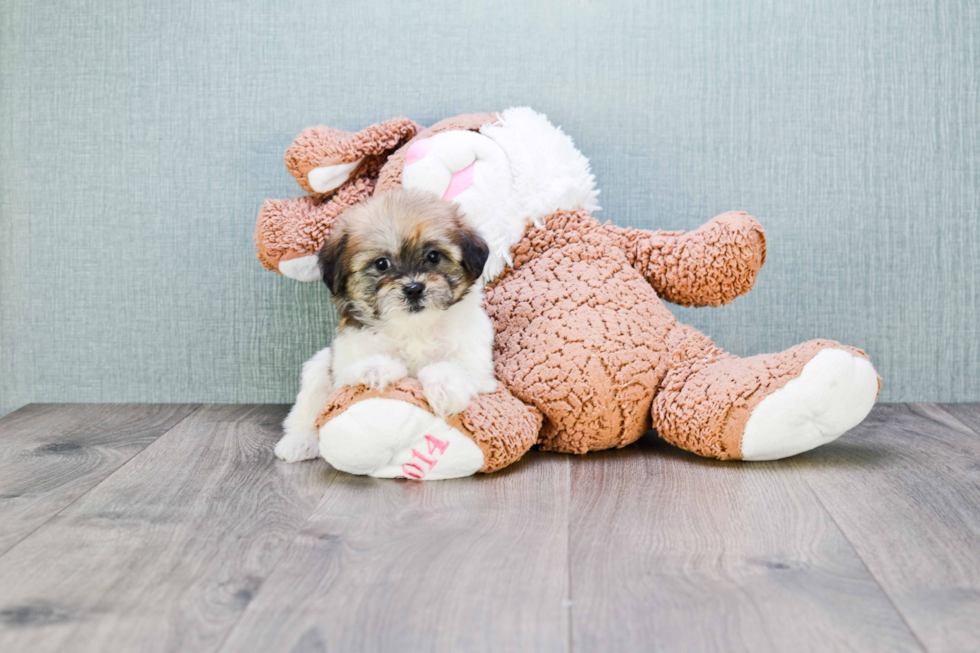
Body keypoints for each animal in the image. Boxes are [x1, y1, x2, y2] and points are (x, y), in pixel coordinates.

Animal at [276, 188, 498, 464]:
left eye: (433, 256)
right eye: (381, 264)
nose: (414, 289)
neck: (413, 327)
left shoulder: (477, 364)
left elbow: (455, 368)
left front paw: (446, 387)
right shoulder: (346, 363)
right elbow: (363, 366)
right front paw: (379, 370)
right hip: (317, 370)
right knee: (305, 413)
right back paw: (298, 441)